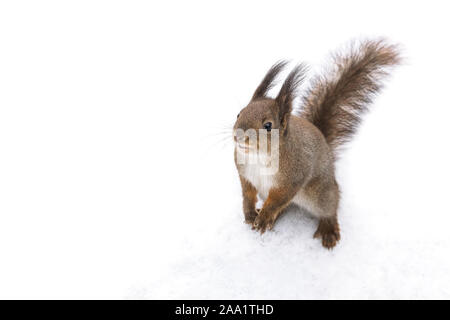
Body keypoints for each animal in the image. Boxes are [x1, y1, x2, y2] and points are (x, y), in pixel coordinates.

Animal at [232, 38, 400, 249]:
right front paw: (249, 213)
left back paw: (328, 229)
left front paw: (264, 218)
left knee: (330, 207)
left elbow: (278, 199)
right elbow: (247, 192)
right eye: (239, 113)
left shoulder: (294, 175)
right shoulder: (244, 171)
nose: (238, 136)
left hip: (320, 193)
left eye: (268, 125)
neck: (259, 156)